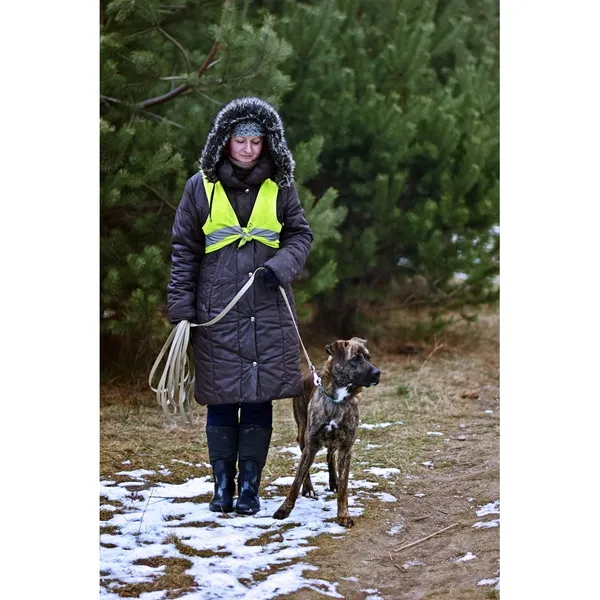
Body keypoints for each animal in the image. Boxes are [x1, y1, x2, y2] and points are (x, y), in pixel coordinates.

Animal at [272, 336, 380, 528]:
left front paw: (343, 515)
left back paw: (333, 481)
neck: (338, 398)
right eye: (356, 358)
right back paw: (308, 488)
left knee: (330, 455)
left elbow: (344, 488)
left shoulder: (346, 447)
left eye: (369, 357)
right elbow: (296, 481)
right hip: (303, 434)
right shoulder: (311, 444)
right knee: (306, 466)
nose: (378, 373)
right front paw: (284, 509)